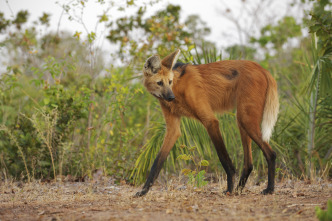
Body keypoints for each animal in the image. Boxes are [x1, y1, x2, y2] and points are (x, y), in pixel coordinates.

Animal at [135, 49, 278, 197]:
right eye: (159, 83)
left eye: (169, 82)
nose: (170, 97)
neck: (178, 87)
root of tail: (262, 69)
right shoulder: (173, 129)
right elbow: (157, 162)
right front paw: (144, 190)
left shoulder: (210, 121)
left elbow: (223, 157)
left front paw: (229, 189)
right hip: (242, 120)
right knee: (249, 163)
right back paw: (239, 190)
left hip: (246, 119)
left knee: (271, 154)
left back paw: (269, 189)